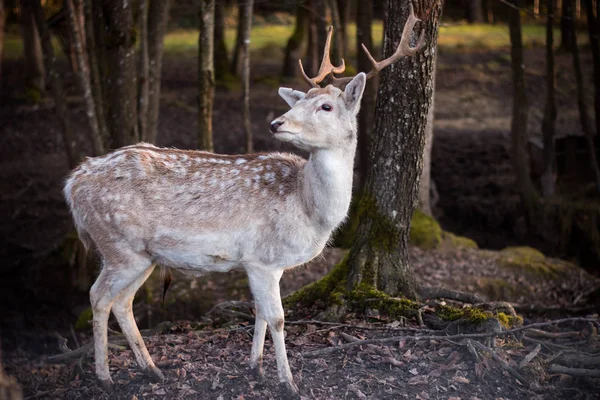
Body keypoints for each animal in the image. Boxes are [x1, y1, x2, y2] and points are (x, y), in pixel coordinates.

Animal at [62, 5, 426, 396]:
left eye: (326, 106)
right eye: (301, 101)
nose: (276, 123)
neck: (309, 210)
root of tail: (72, 183)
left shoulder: (264, 263)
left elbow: (260, 312)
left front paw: (257, 368)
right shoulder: (262, 258)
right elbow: (278, 318)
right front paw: (288, 383)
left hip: (143, 256)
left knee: (123, 302)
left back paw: (152, 370)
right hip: (118, 245)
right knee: (99, 296)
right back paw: (105, 377)